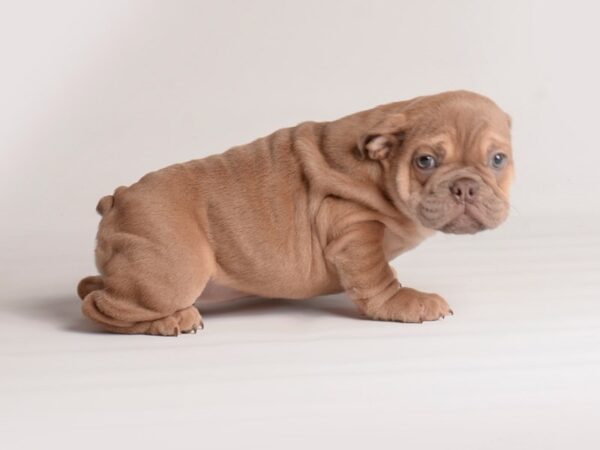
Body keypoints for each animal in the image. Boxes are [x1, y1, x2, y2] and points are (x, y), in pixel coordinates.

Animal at [77, 90, 512, 334]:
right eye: (425, 161)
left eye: (498, 159)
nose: (465, 186)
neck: (382, 167)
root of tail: (117, 198)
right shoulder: (353, 226)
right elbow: (377, 277)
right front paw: (404, 302)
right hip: (173, 271)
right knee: (97, 305)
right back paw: (168, 320)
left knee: (92, 285)